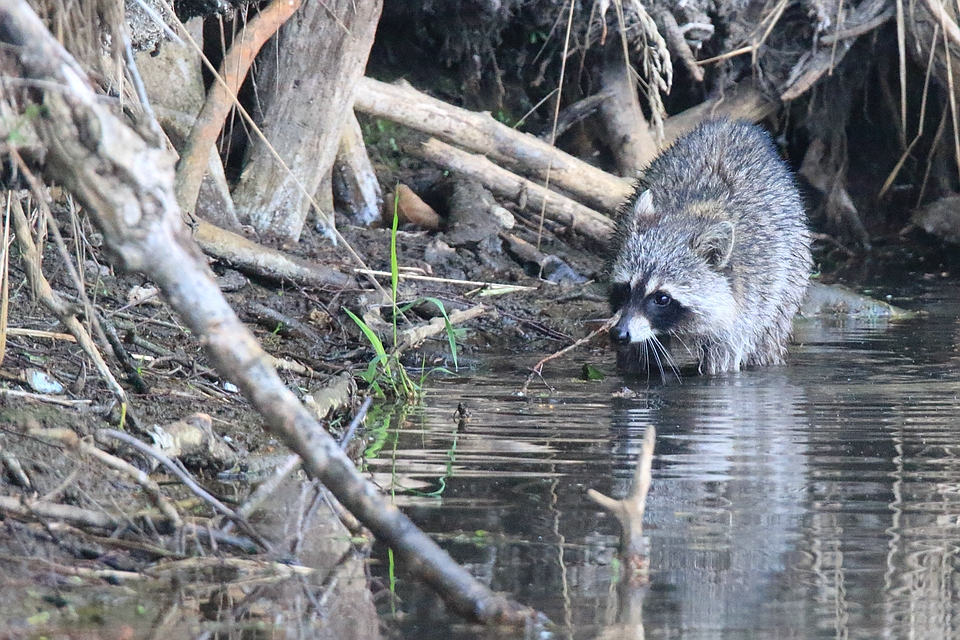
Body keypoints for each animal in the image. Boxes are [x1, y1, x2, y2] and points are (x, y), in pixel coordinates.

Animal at [608, 120, 808, 376]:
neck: (685, 219)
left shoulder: (744, 310)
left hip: (789, 279)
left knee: (770, 335)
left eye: (662, 298)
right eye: (625, 287)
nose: (619, 334)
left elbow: (723, 363)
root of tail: (734, 125)